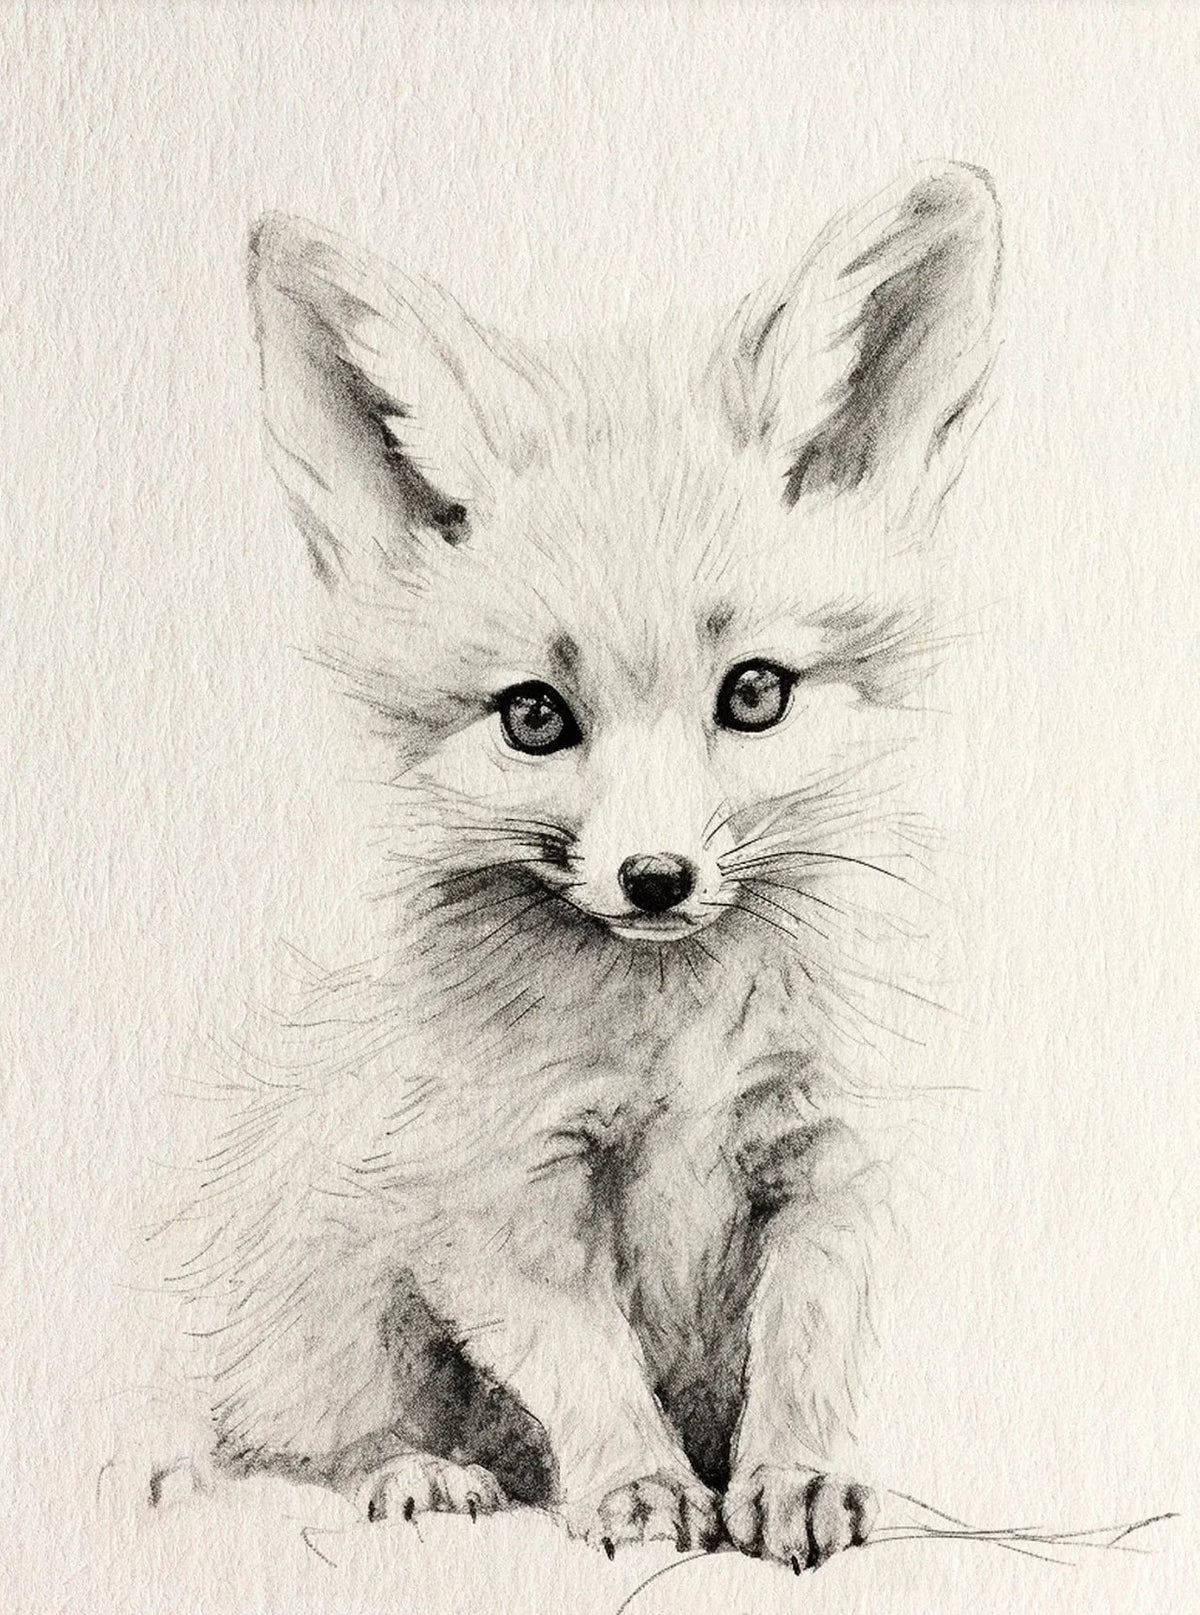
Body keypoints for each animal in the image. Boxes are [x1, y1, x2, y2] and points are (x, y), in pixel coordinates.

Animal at [144, 164, 1001, 1571]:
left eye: (754, 692)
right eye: (535, 716)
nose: (656, 878)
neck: (683, 1041)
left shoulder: (826, 1158)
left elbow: (804, 1349)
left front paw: (793, 1480)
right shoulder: (496, 1184)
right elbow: (589, 1359)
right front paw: (639, 1489)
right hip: (338, 1291)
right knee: (281, 1452)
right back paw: (419, 1474)